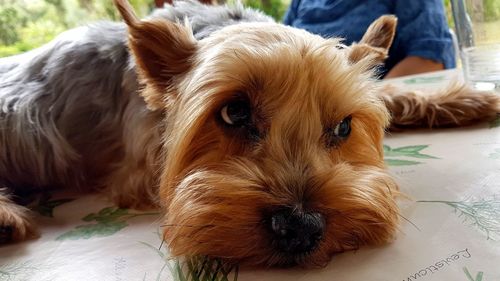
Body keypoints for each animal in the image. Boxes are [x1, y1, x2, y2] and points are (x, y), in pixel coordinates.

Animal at [0, 0, 498, 266]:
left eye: (343, 126)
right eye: (234, 112)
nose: (300, 227)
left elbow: (393, 91)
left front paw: (465, 100)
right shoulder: (139, 168)